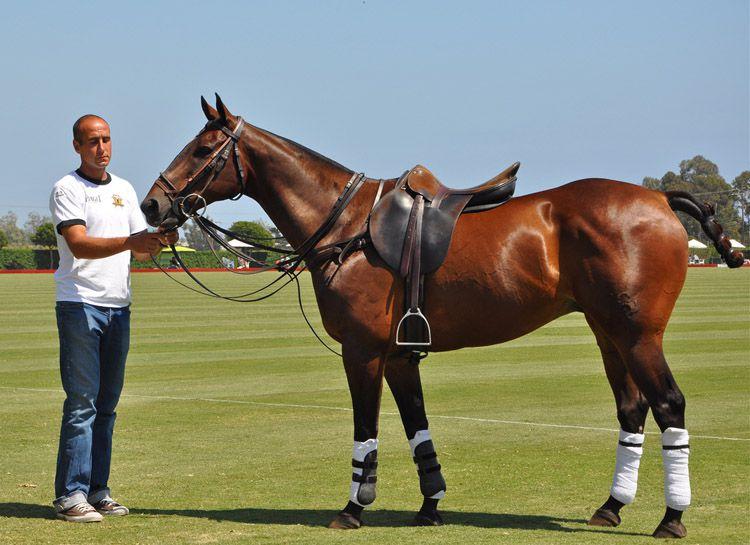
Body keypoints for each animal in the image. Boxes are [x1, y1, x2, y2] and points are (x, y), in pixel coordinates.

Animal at [141, 95, 748, 536]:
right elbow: (417, 427)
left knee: (668, 404)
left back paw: (671, 518)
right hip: (608, 332)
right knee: (632, 407)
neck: (346, 227)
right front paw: (430, 505)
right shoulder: (397, 355)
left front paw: (354, 507)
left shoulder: (362, 351)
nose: (152, 204)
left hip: (639, 333)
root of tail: (663, 201)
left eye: (202, 148)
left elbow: (366, 430)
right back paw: (611, 506)